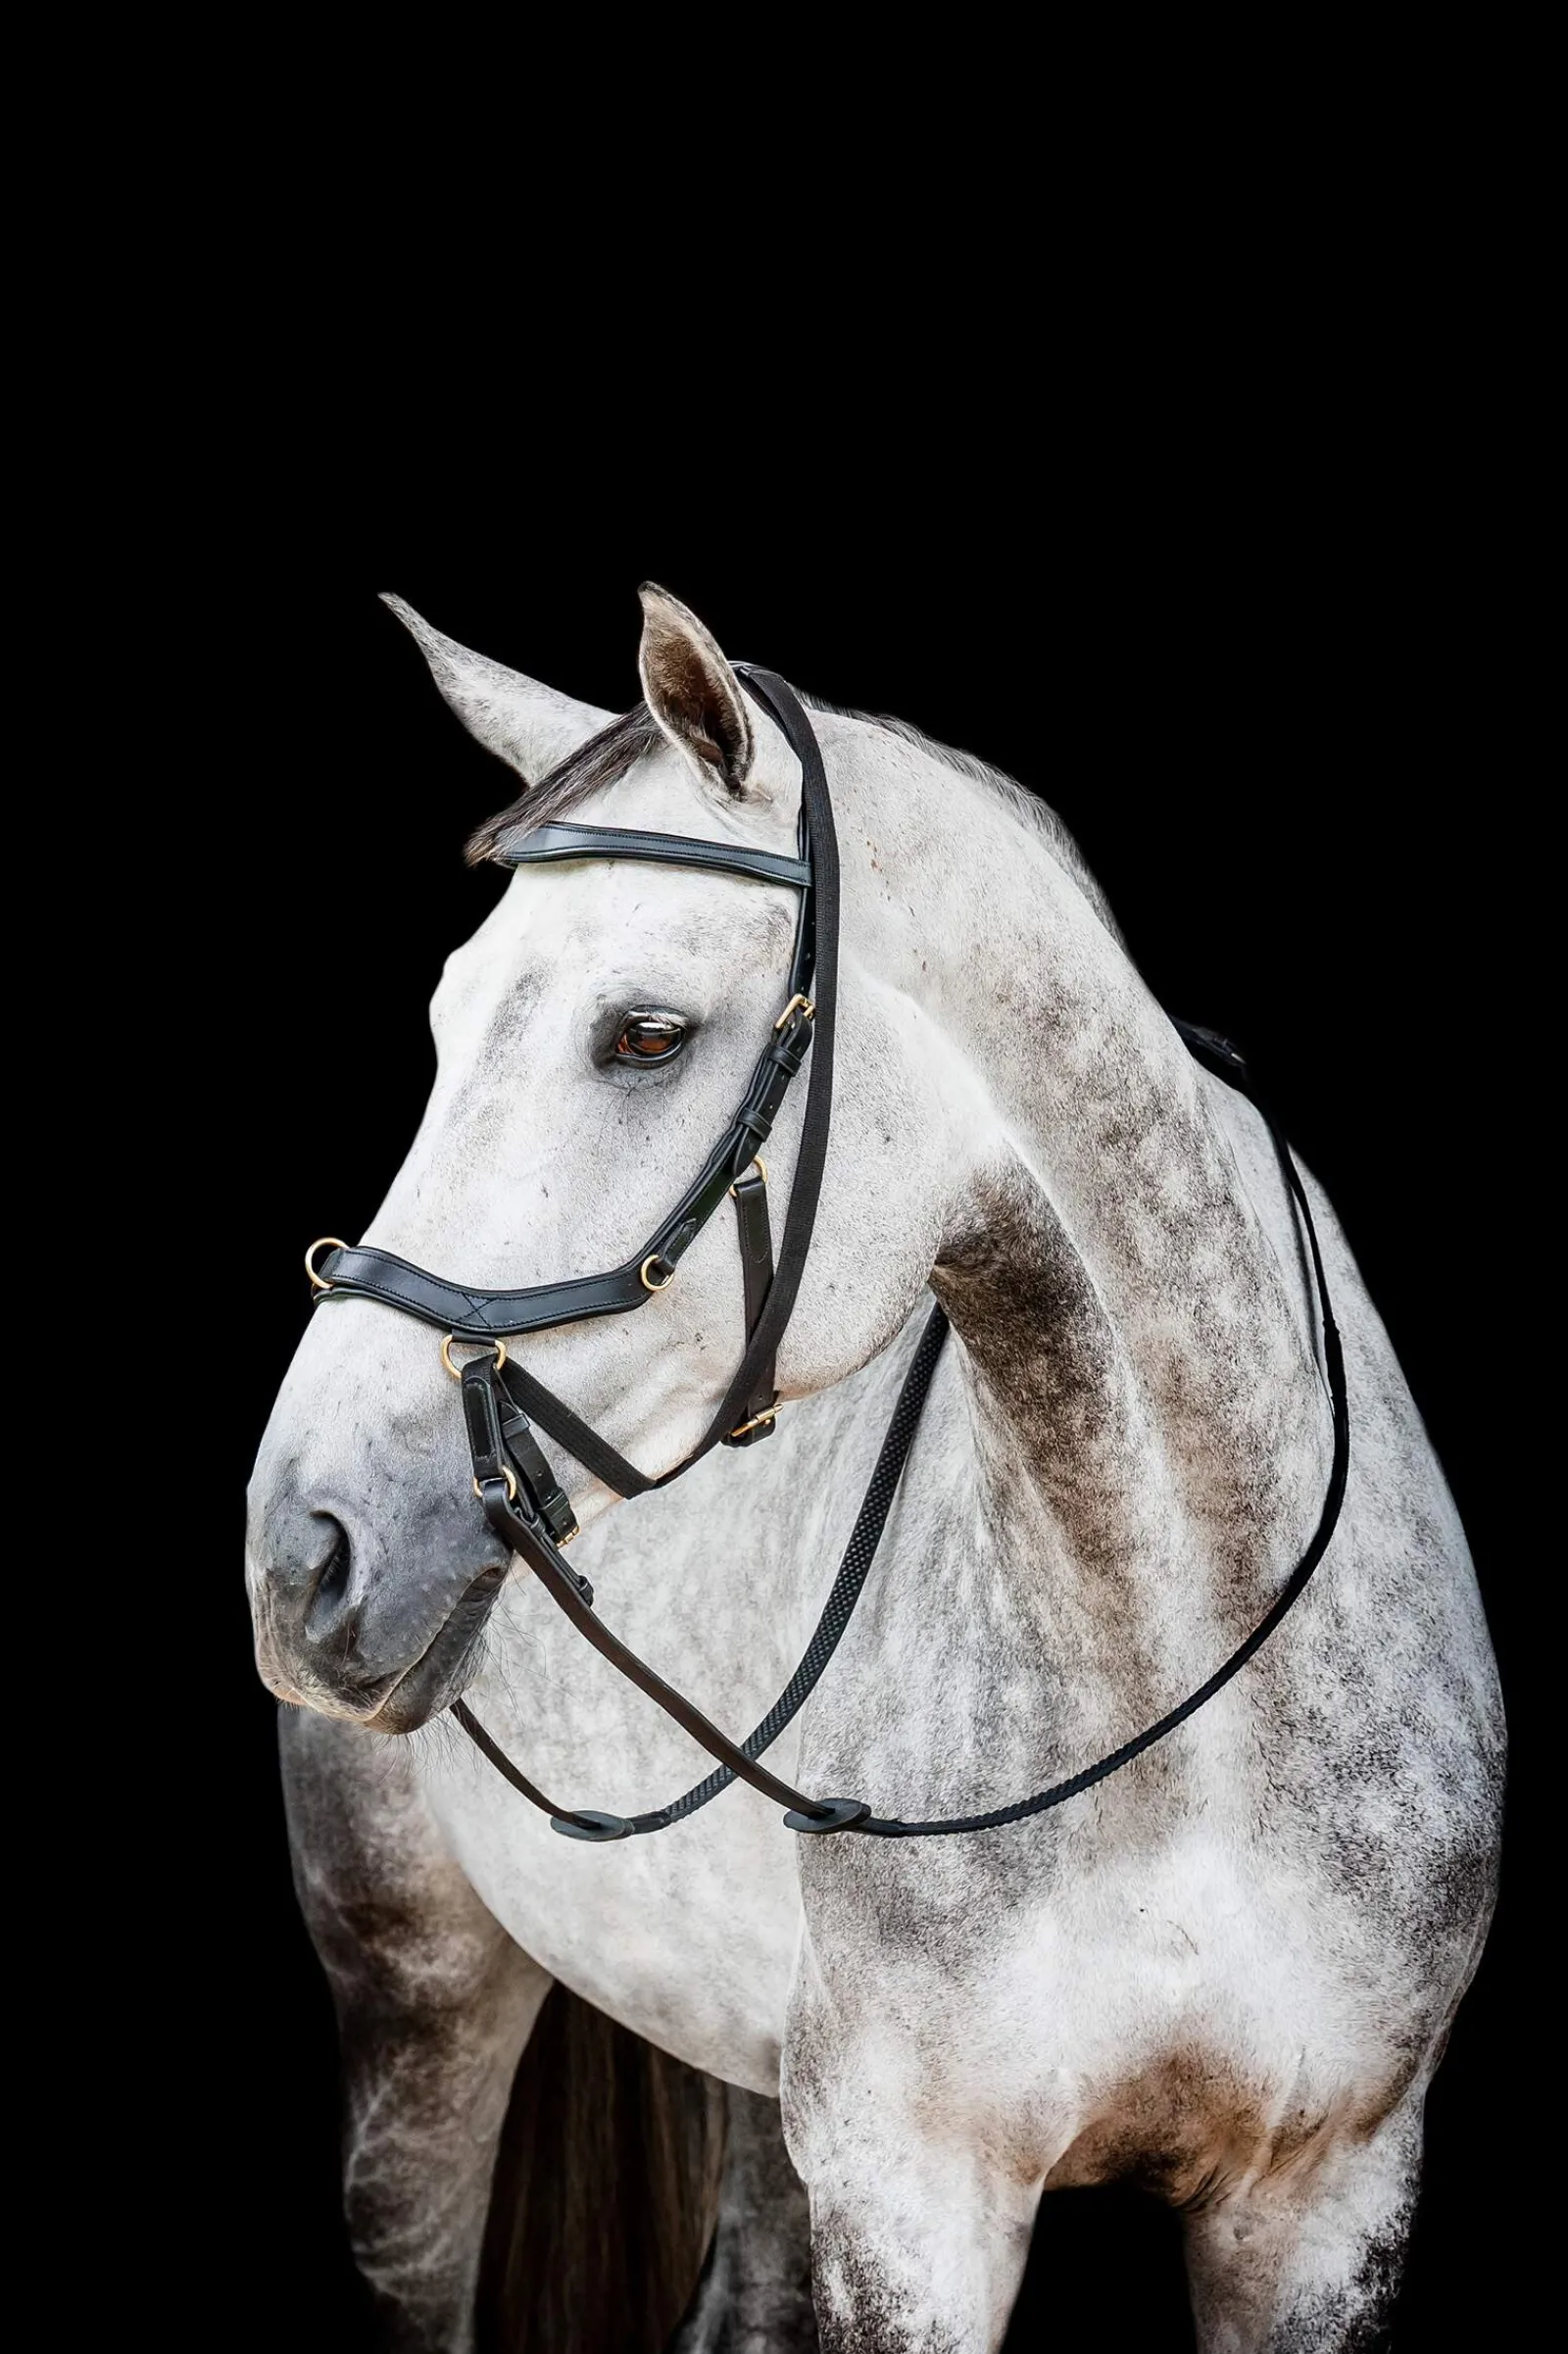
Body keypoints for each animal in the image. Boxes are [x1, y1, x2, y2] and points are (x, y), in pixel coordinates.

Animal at [246, 585, 1503, 2352]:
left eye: (644, 1033)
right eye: (440, 1021)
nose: (304, 1548)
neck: (1188, 1696)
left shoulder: (1326, 2198)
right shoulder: (917, 2202)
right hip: (415, 2010)